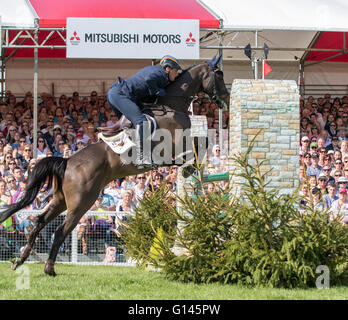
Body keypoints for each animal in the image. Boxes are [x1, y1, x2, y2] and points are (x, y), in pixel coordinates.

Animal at [0, 55, 230, 276]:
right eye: (219, 75)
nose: (226, 100)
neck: (173, 106)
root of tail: (66, 162)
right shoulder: (173, 145)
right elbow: (201, 144)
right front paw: (190, 167)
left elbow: (198, 147)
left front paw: (189, 167)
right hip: (81, 203)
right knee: (60, 231)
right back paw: (49, 268)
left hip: (61, 199)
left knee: (39, 221)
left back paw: (20, 260)